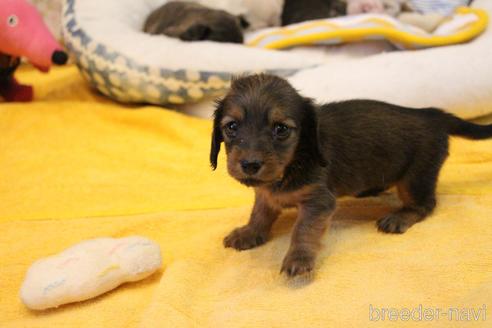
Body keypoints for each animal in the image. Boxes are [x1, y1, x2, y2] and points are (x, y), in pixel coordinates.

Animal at [210, 73, 492, 276]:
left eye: (281, 129)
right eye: (231, 127)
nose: (250, 164)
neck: (292, 165)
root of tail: (431, 113)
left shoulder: (319, 202)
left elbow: (303, 229)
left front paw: (299, 257)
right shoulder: (266, 195)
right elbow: (259, 214)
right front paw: (249, 233)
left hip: (415, 178)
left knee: (426, 204)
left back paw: (399, 217)